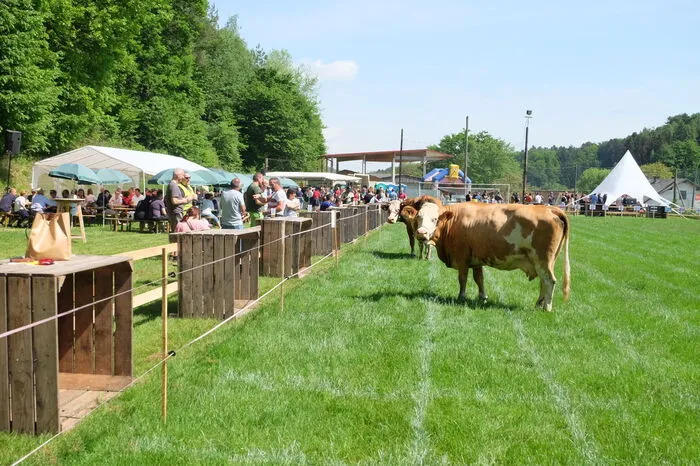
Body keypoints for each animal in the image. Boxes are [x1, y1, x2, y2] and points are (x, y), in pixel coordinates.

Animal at [414, 202, 570, 311]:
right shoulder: (476, 260)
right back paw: (539, 304)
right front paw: (482, 297)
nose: (421, 233)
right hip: (543, 262)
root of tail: (550, 209)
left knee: (549, 281)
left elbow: (463, 279)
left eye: (434, 219)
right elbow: (479, 279)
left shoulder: (462, 258)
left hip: (542, 259)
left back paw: (546, 307)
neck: (453, 221)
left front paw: (461, 297)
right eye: (418, 217)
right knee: (543, 281)